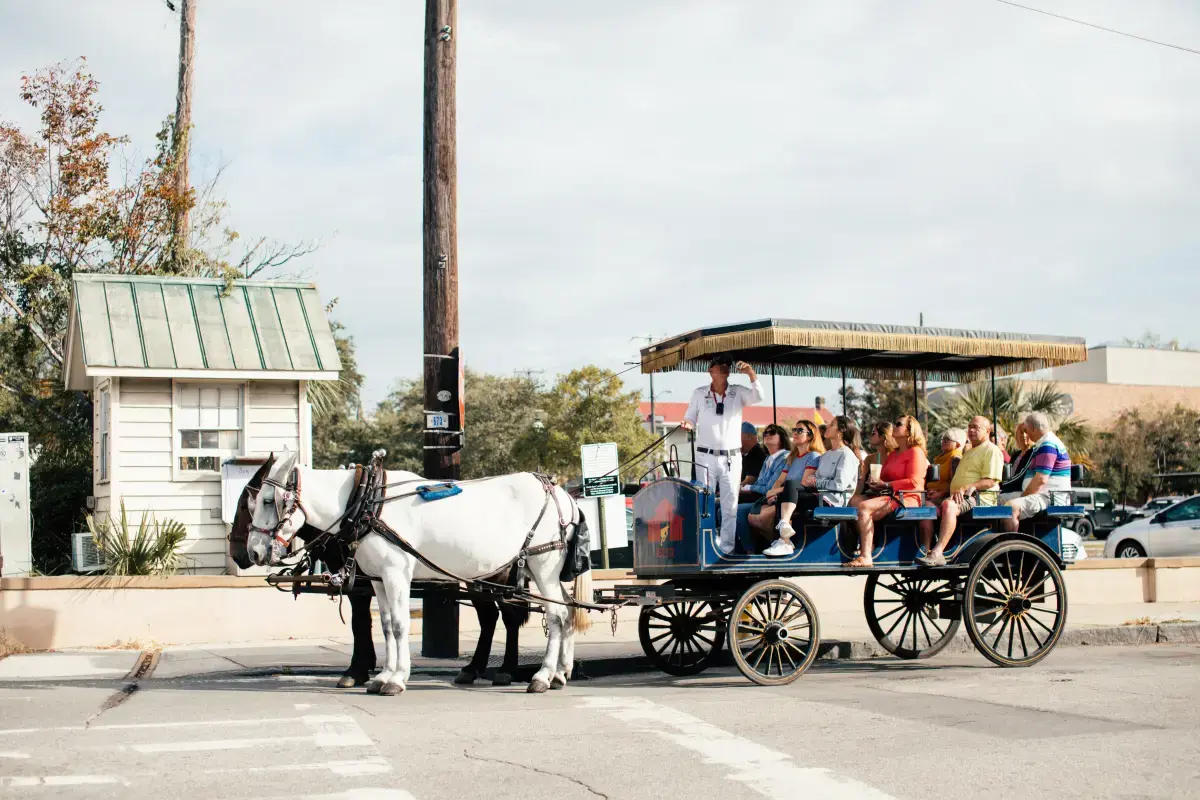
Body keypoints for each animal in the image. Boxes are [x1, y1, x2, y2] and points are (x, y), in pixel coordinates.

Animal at [243, 453, 590, 695]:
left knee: (556, 616)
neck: (367, 503)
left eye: (266, 500)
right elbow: (385, 626)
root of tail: (562, 496)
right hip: (538, 569)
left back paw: (542, 676)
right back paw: (560, 674)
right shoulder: (379, 579)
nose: (253, 552)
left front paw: (396, 679)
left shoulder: (396, 573)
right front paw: (382, 675)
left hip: (543, 564)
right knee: (567, 611)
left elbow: (399, 625)